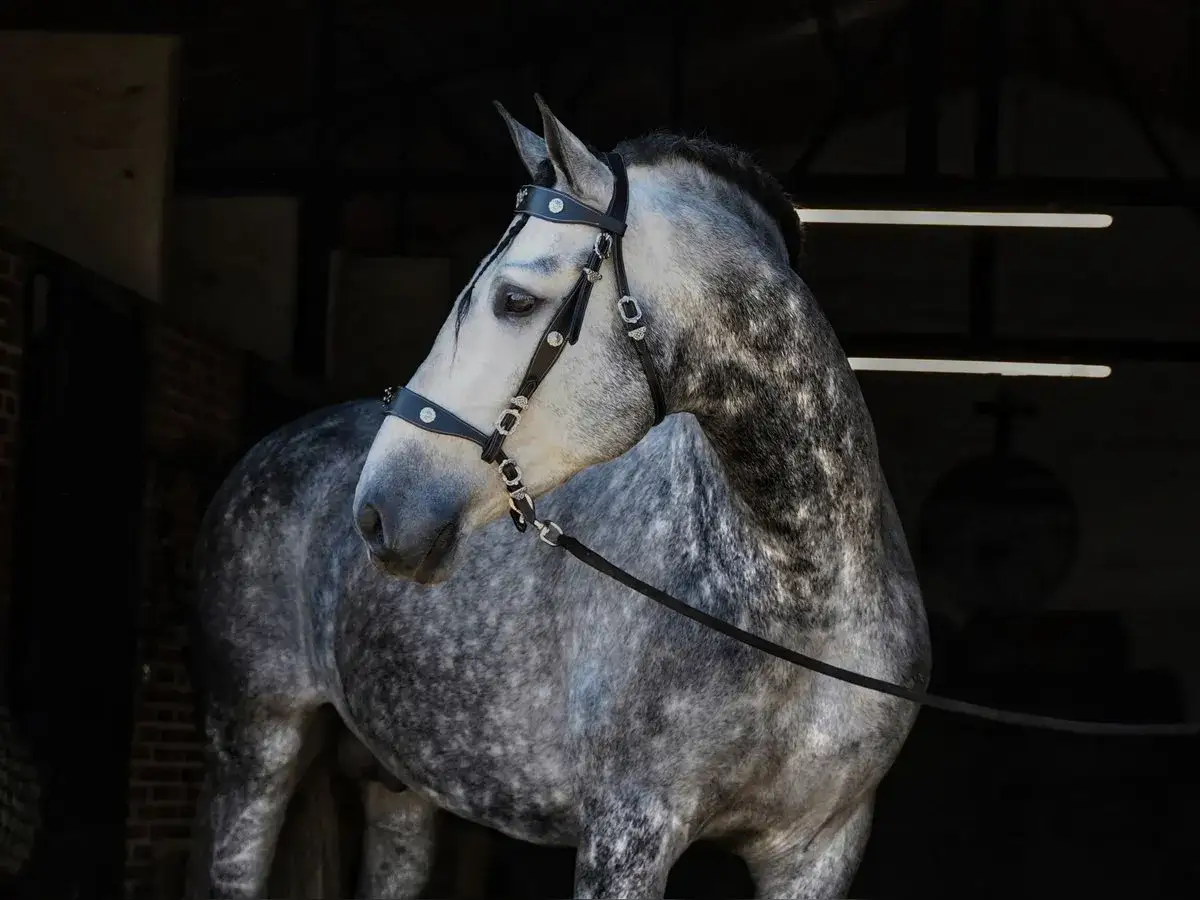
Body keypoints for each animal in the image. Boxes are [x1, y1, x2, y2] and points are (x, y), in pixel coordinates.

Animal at [186, 97, 931, 899]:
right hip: (254, 743)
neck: (803, 595)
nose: (378, 512)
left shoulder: (820, 849)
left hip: (399, 790)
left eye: (515, 299)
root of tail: (272, 447)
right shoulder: (628, 830)